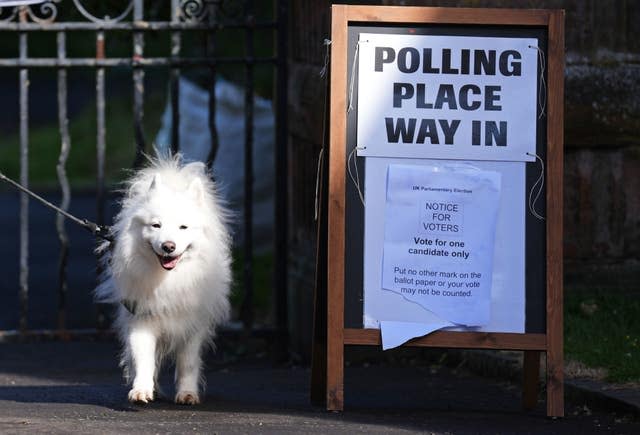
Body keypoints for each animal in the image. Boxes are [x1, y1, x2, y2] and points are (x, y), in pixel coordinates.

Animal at [96, 156, 231, 406]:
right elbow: (143, 359)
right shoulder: (141, 318)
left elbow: (188, 363)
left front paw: (187, 393)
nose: (168, 246)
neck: (169, 279)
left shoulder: (192, 324)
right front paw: (141, 390)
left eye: (183, 227)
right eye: (156, 225)